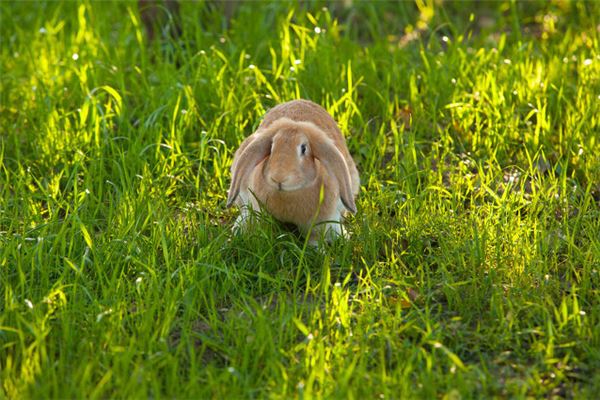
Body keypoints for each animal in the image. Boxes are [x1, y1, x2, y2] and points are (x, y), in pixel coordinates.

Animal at [226, 99, 358, 244]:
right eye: (271, 147)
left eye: (304, 148)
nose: (278, 178)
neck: (288, 195)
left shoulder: (320, 224)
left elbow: (314, 239)